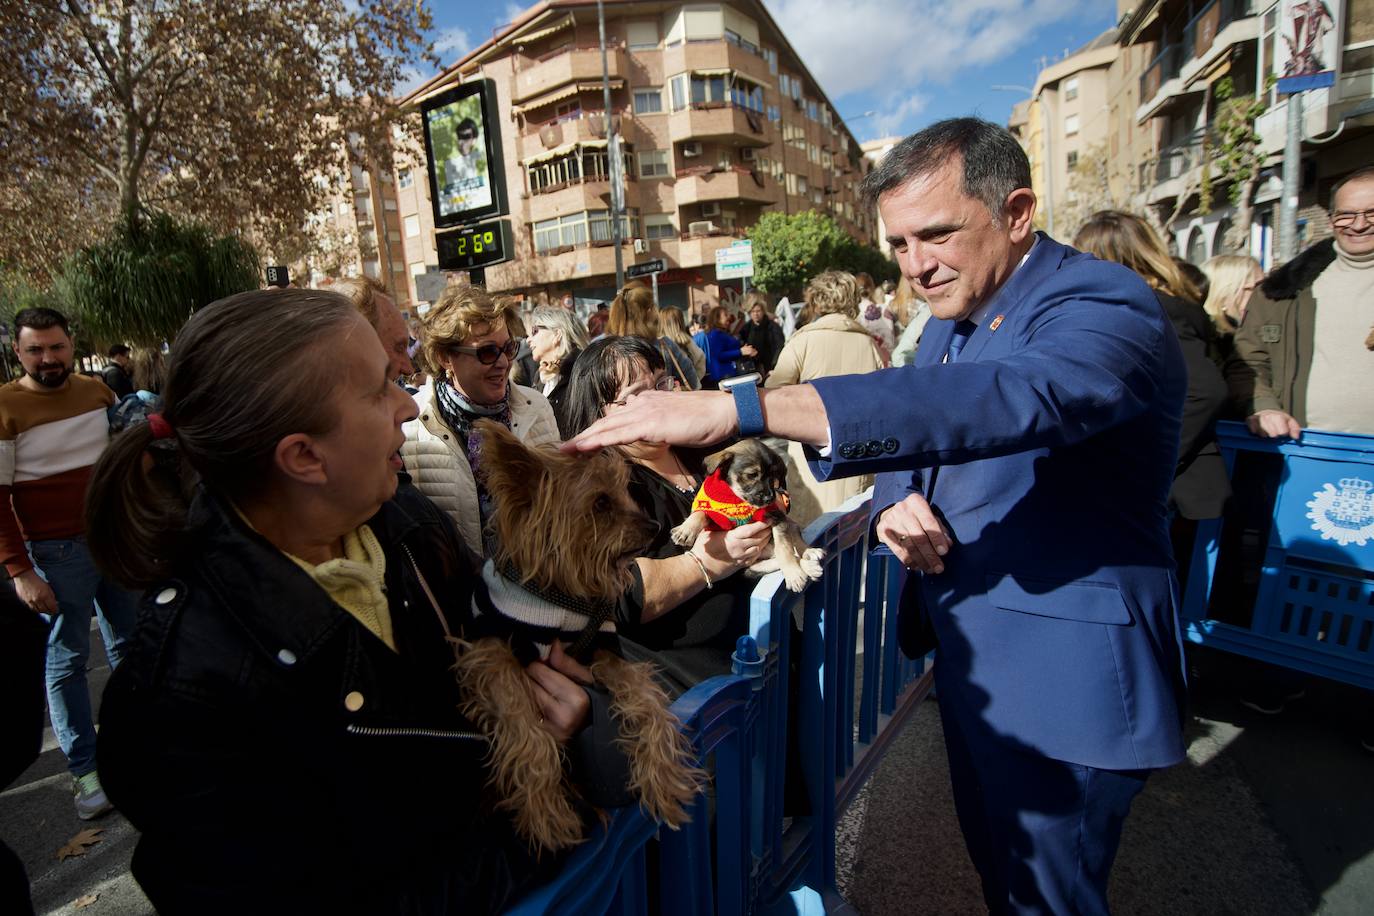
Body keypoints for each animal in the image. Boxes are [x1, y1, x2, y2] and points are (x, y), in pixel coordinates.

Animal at [456, 420, 703, 851]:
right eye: (601, 503)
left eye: (626, 492)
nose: (655, 526)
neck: (562, 597)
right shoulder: (492, 652)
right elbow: (522, 722)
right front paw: (545, 813)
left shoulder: (604, 648)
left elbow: (646, 701)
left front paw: (665, 779)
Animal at [667, 439, 818, 596]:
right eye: (752, 475)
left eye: (773, 477)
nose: (770, 498)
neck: (738, 500)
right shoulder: (715, 515)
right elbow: (701, 513)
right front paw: (685, 531)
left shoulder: (777, 516)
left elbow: (784, 547)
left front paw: (793, 574)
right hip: (750, 568)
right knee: (779, 560)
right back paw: (810, 566)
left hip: (788, 526)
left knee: (793, 541)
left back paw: (810, 554)